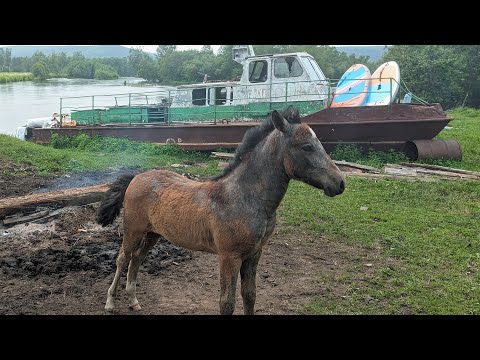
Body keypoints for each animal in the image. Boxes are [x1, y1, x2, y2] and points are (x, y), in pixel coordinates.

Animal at [97, 108, 344, 314]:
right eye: (307, 146)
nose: (340, 183)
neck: (245, 197)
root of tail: (137, 177)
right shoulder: (229, 256)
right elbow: (227, 302)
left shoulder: (254, 254)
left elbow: (250, 295)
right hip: (133, 230)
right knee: (123, 258)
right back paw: (110, 302)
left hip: (153, 233)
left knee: (137, 258)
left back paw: (133, 300)